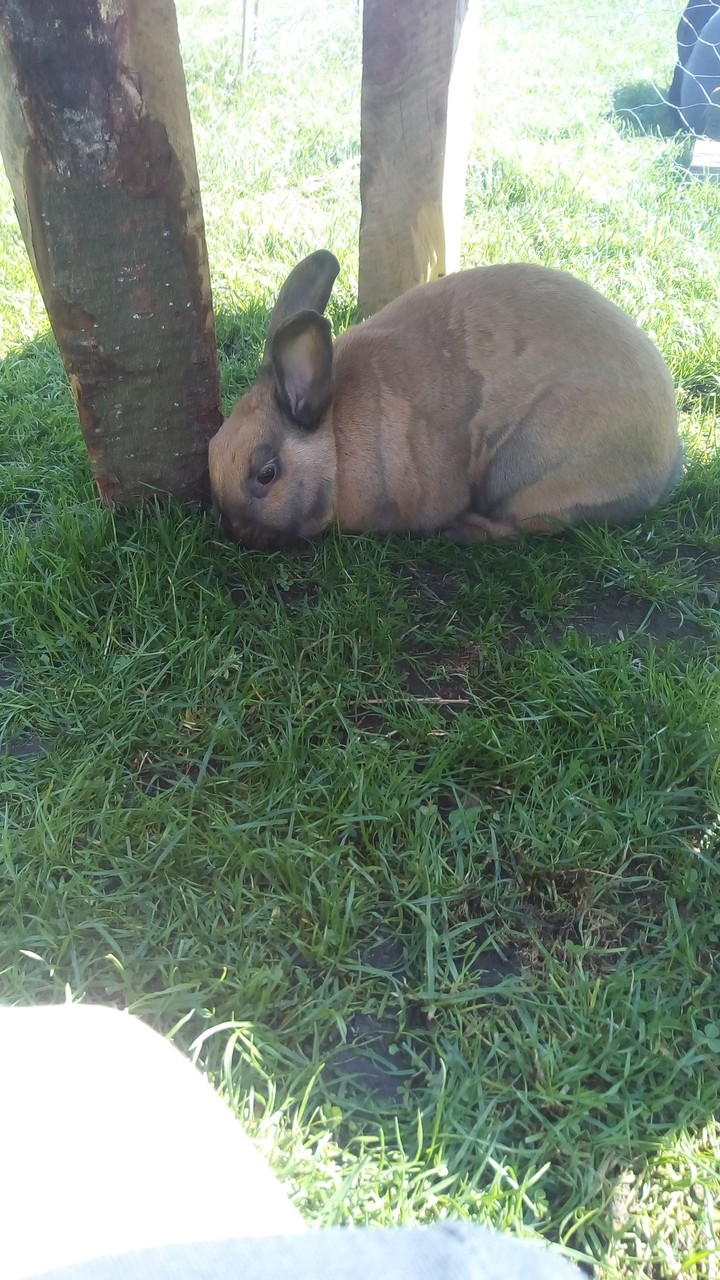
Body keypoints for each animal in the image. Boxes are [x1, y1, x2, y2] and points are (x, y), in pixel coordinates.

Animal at [208, 250, 682, 549]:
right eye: (211, 449)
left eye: (266, 474)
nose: (236, 533)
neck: (336, 443)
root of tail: (665, 465)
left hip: (527, 469)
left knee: (530, 525)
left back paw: (464, 530)